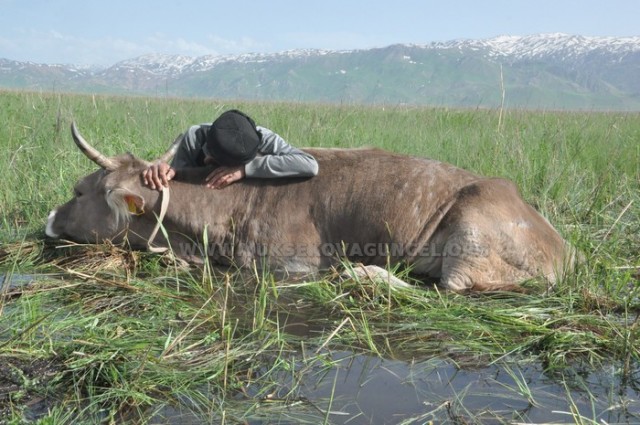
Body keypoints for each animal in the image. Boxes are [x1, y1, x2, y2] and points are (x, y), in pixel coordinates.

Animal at [43, 121, 576, 290]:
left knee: (447, 289)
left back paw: (364, 274)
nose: (49, 220)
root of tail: (565, 248)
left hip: (471, 237)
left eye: (78, 190)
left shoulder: (289, 264)